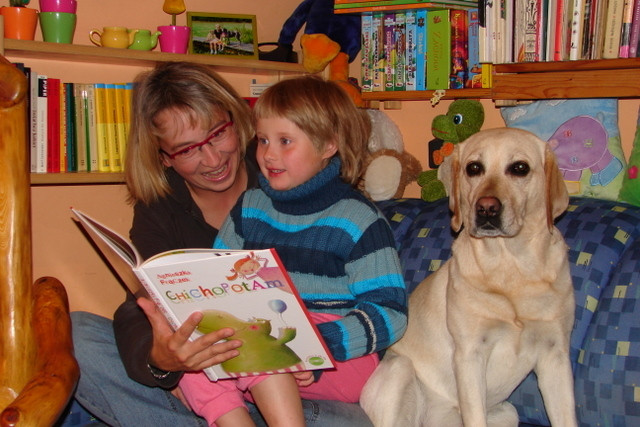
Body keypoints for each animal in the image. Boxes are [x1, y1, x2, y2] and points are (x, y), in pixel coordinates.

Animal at [362, 129, 576, 427]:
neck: (511, 268)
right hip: (400, 369)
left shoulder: (555, 353)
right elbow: (475, 416)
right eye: (474, 168)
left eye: (520, 168)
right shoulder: (470, 354)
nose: (486, 208)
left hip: (508, 412)